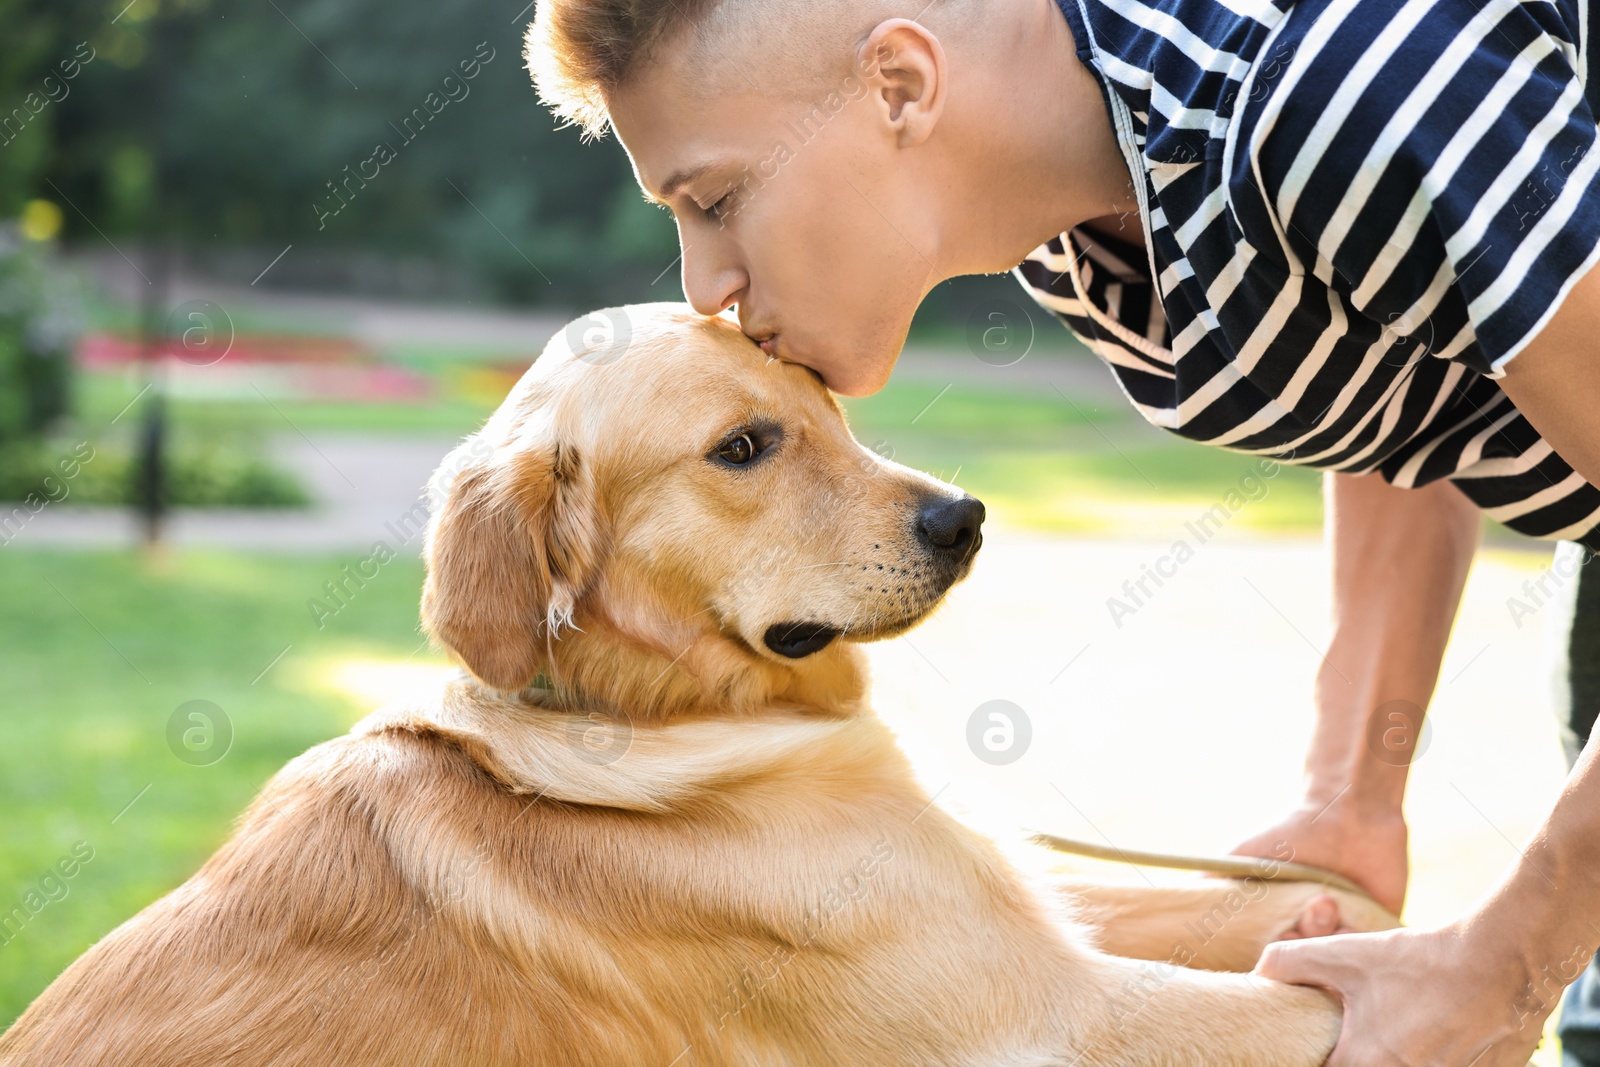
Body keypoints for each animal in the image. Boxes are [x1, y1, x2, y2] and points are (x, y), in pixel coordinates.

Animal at [3, 303, 1388, 1062]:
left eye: (827, 404)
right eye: (742, 447)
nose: (966, 519)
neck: (670, 716)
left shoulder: (1002, 897)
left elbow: (1228, 908)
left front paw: (1326, 905)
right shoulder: (1058, 1012)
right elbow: (1291, 1007)